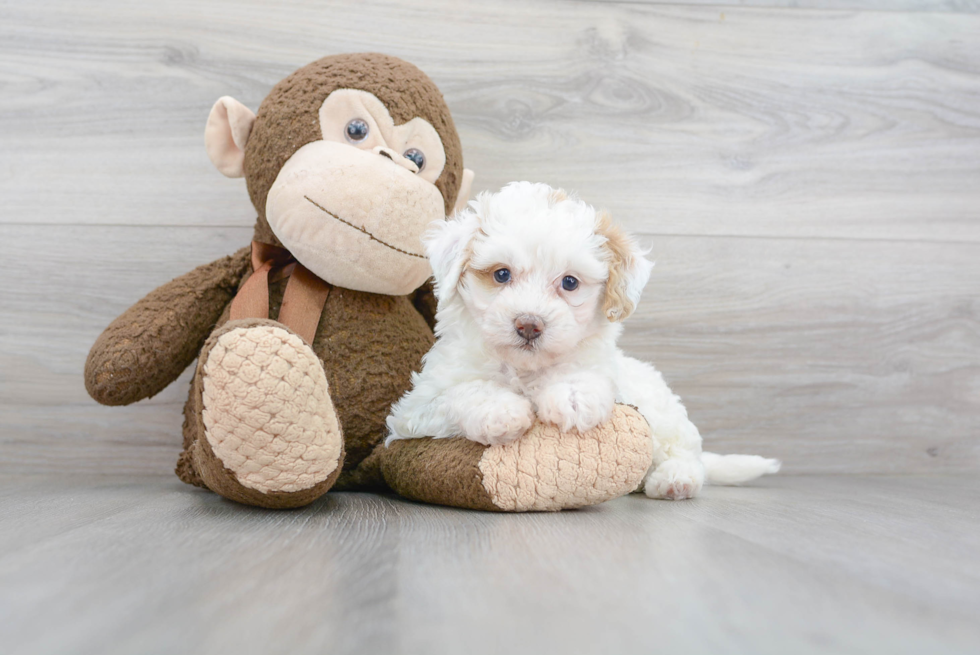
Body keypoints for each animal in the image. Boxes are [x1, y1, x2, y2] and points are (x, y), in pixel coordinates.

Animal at [386, 182, 776, 500]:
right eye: (501, 274)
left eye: (570, 283)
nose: (529, 325)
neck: (525, 370)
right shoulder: (413, 410)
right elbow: (461, 392)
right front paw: (499, 409)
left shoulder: (600, 368)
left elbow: (581, 374)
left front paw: (572, 395)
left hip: (663, 415)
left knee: (684, 453)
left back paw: (675, 480)